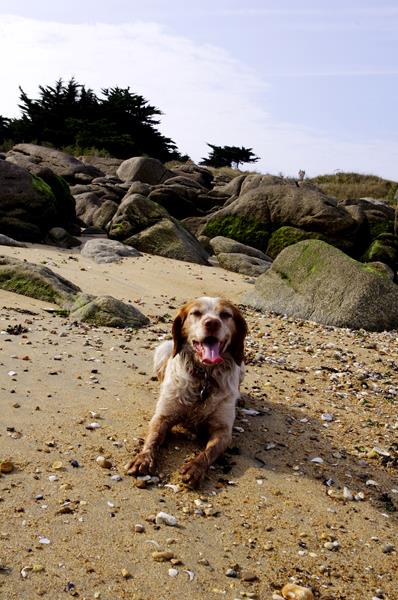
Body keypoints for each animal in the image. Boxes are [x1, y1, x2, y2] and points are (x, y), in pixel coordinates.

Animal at [126, 296, 247, 488]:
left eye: (225, 315)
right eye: (196, 313)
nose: (212, 323)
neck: (204, 376)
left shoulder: (223, 430)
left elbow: (208, 452)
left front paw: (195, 468)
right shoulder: (163, 416)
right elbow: (152, 438)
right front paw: (143, 459)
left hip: (241, 364)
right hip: (165, 348)